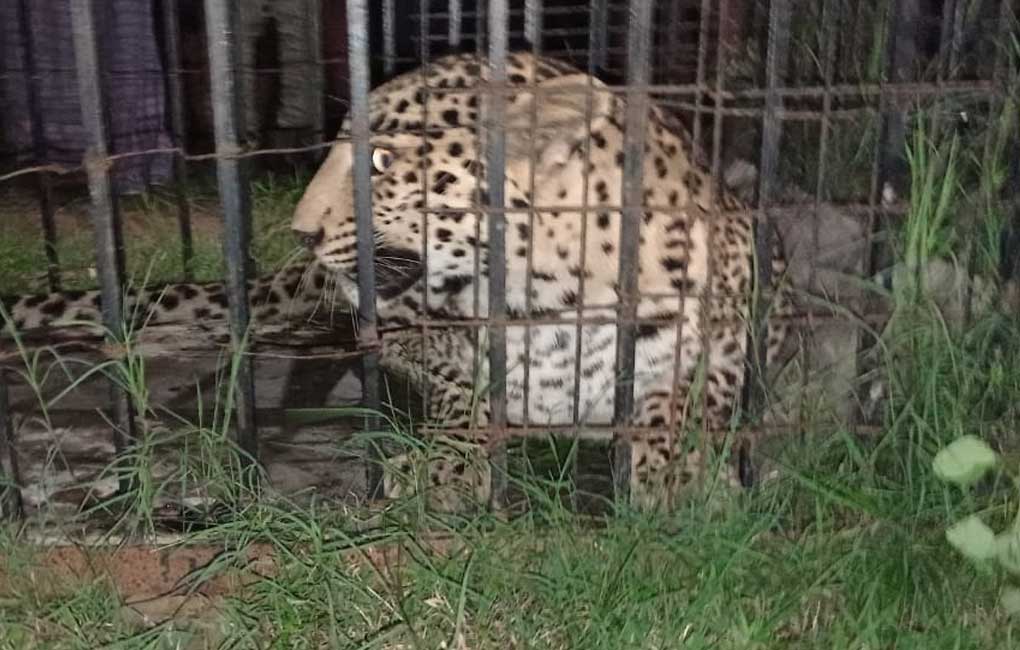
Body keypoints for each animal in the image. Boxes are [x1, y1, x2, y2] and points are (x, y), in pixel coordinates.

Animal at [2, 51, 794, 513]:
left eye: (382, 161)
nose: (301, 231)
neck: (543, 299)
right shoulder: (439, 352)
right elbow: (464, 398)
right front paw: (446, 466)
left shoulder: (729, 335)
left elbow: (687, 401)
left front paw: (683, 475)